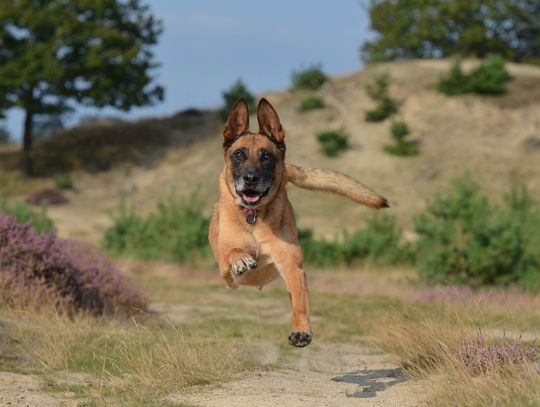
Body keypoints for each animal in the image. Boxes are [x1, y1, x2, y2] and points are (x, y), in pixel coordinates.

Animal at [208, 98, 388, 348]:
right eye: (239, 155)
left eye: (266, 156)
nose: (251, 178)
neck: (254, 217)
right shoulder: (226, 272)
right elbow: (233, 252)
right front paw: (241, 259)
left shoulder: (291, 266)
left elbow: (299, 302)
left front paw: (301, 330)